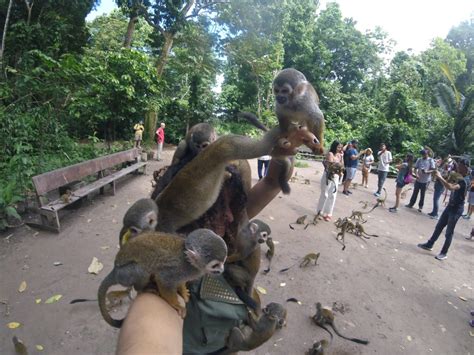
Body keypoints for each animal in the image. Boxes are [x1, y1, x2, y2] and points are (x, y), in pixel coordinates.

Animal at [97, 231, 227, 328]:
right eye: (215, 265)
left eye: (223, 261)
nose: (221, 270)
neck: (190, 263)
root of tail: (115, 270)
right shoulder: (178, 268)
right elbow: (164, 281)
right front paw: (176, 305)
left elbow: (179, 282)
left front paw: (182, 291)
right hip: (125, 274)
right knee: (141, 270)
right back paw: (142, 288)